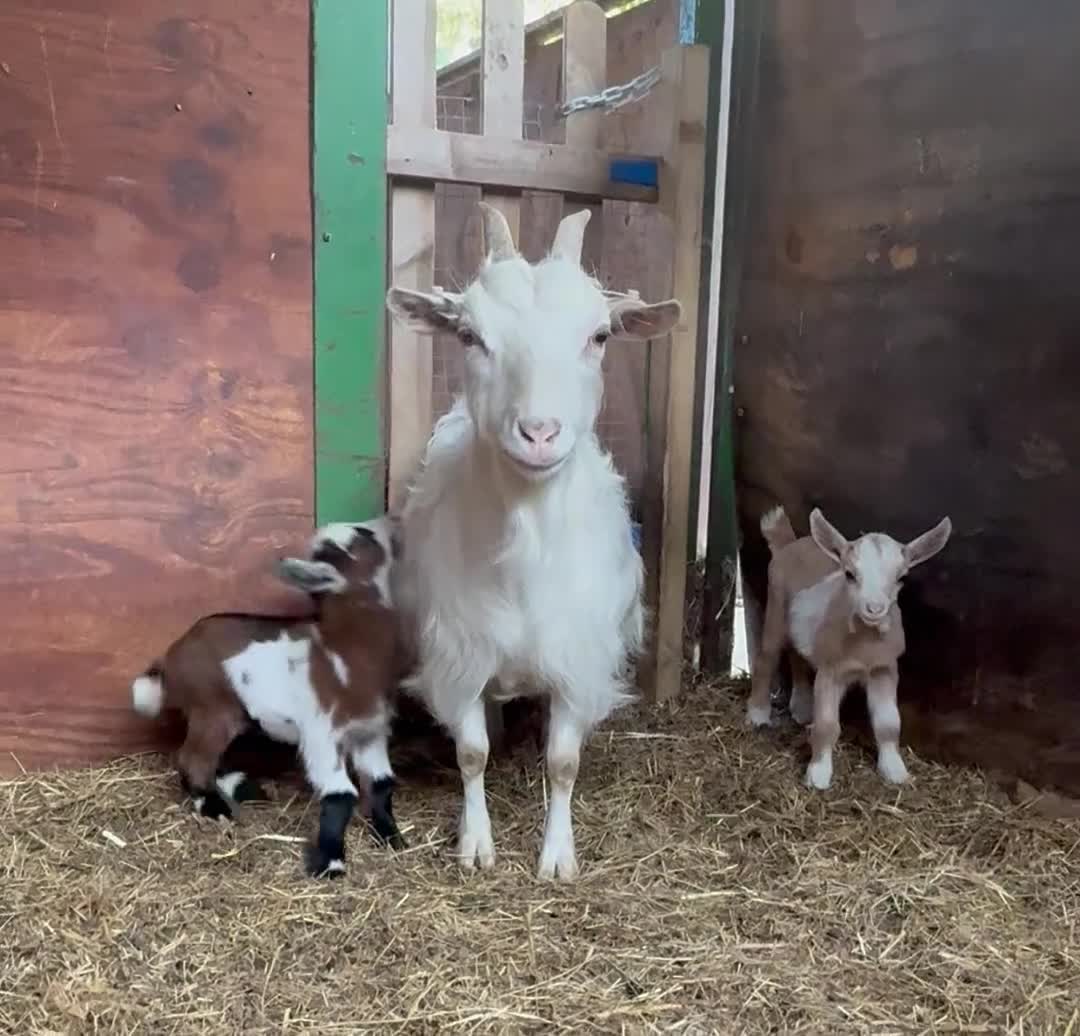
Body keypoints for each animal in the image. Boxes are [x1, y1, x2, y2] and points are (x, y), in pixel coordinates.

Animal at [131, 518, 406, 877]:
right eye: (364, 536)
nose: (392, 522)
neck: (342, 651)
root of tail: (170, 658)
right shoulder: (321, 734)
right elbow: (340, 794)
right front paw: (331, 863)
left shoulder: (369, 733)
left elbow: (381, 783)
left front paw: (391, 837)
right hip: (213, 706)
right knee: (192, 759)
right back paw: (215, 807)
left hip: (230, 713)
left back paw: (239, 786)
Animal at [385, 203, 682, 880]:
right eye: (469, 335)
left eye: (599, 336)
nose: (539, 433)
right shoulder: (459, 652)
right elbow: (471, 753)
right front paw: (475, 843)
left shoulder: (578, 659)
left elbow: (563, 763)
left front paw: (557, 856)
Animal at [746, 506, 951, 790]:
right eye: (850, 574)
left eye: (901, 577)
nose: (874, 609)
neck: (864, 648)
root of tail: (789, 543)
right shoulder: (830, 670)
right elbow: (827, 725)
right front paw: (818, 776)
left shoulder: (884, 669)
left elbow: (889, 724)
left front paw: (895, 771)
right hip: (775, 606)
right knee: (767, 657)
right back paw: (758, 714)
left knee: (797, 656)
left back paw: (801, 707)